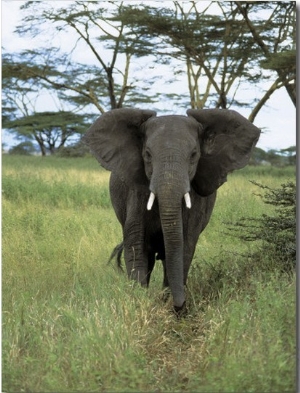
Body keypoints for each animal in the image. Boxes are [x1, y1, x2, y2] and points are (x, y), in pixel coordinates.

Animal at [82, 108, 260, 316]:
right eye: (147, 154)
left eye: (194, 155)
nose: (180, 304)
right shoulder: (136, 192)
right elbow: (136, 246)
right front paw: (140, 304)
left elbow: (184, 246)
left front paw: (170, 309)